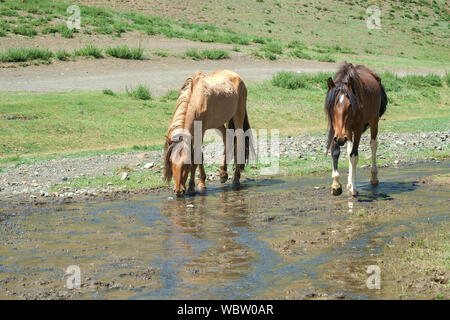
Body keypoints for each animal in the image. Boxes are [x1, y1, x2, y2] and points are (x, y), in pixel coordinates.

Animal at [326, 60, 388, 195]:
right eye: (332, 105)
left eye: (350, 105)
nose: (340, 139)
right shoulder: (336, 130)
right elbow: (336, 152)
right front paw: (336, 184)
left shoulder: (358, 129)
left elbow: (354, 156)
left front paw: (354, 188)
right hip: (348, 131)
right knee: (349, 148)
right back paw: (349, 182)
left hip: (374, 121)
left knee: (373, 145)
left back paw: (373, 177)